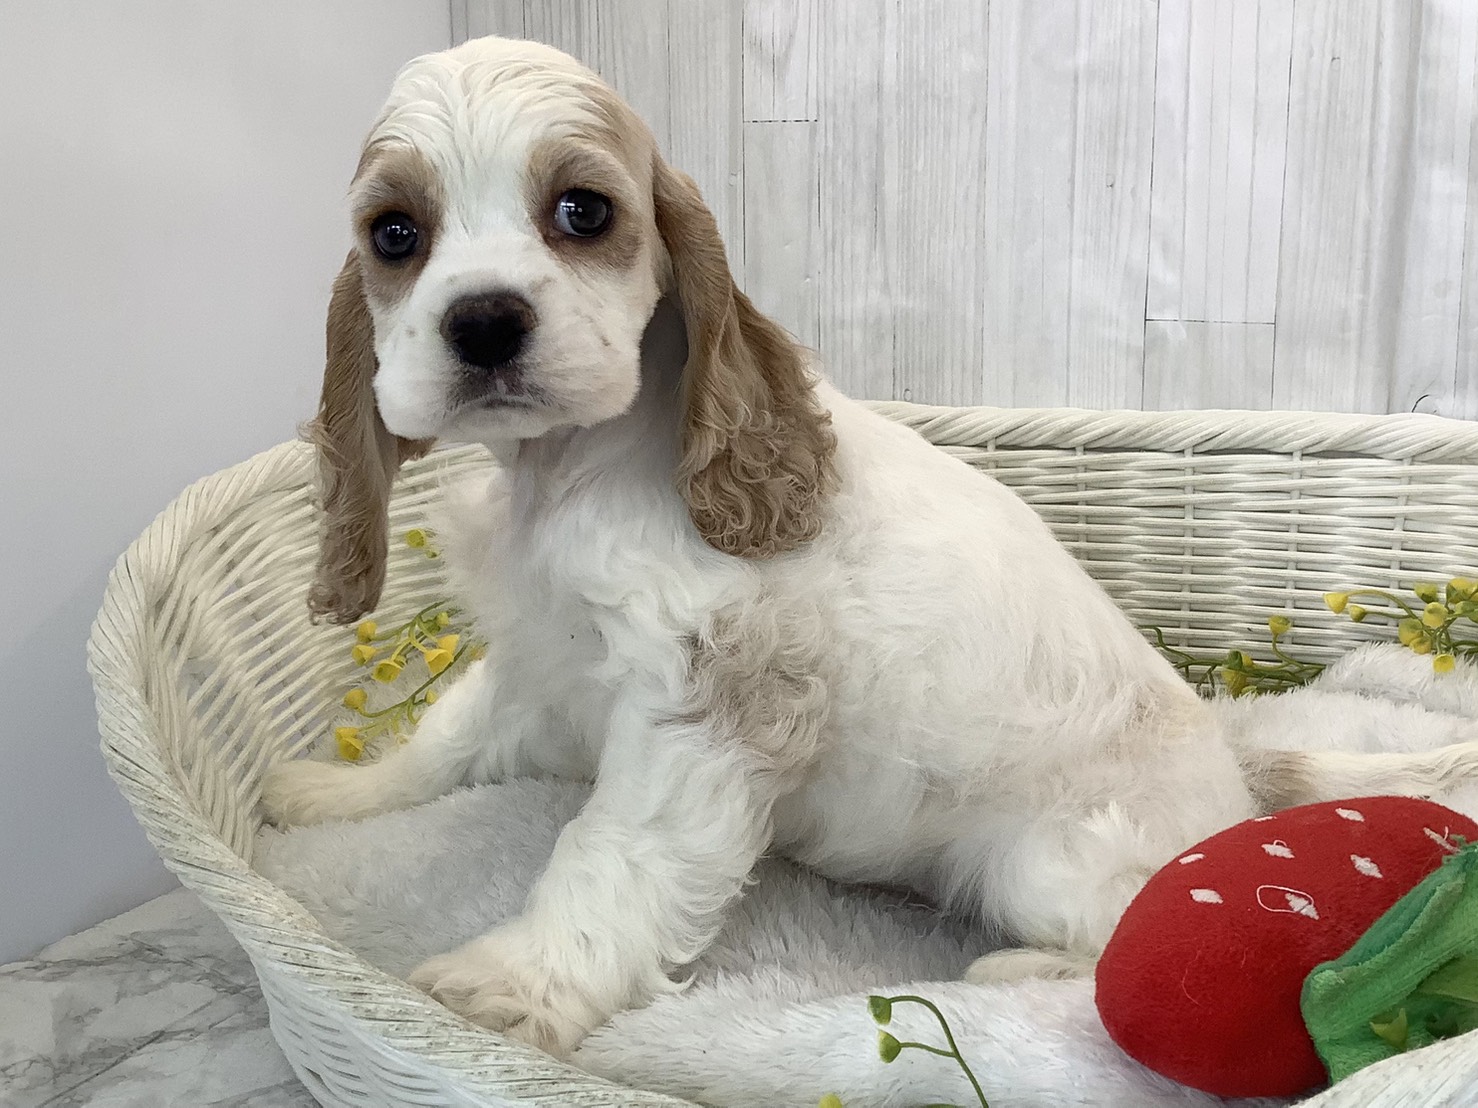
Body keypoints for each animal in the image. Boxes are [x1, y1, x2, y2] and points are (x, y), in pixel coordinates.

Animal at [260, 35, 1478, 1055]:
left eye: (582, 210)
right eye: (395, 234)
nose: (482, 322)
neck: (564, 470)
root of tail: (1235, 768)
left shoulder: (705, 705)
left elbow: (608, 852)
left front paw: (514, 983)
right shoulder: (540, 656)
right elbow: (456, 736)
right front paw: (335, 790)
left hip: (1046, 856)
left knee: (1110, 938)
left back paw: (1014, 970)